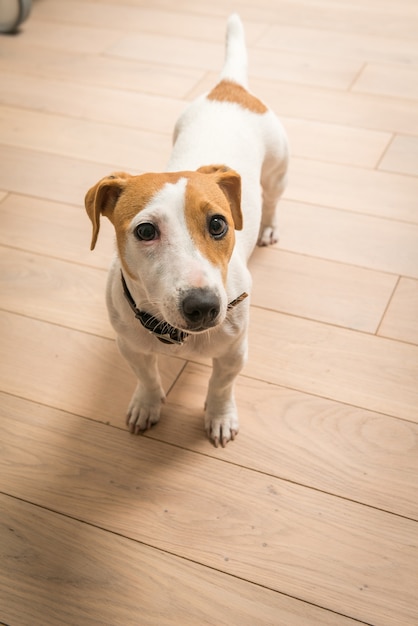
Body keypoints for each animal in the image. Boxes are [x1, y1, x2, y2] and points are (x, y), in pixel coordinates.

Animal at [85, 13, 288, 444]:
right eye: (145, 232)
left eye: (218, 223)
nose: (204, 306)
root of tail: (230, 86)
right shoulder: (130, 346)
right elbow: (146, 378)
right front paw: (147, 405)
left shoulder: (234, 352)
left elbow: (221, 385)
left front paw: (220, 416)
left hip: (278, 171)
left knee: (273, 199)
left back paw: (268, 227)